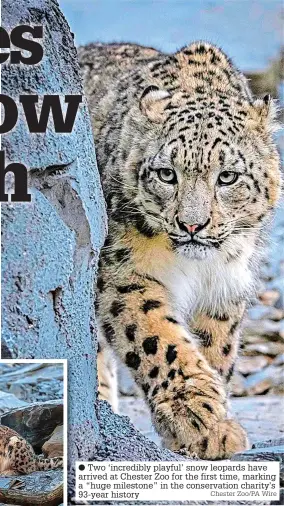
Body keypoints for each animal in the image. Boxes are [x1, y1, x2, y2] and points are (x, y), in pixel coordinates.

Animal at [79, 40, 280, 458]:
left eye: (227, 176)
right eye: (166, 174)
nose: (192, 225)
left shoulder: (226, 282)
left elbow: (213, 345)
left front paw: (212, 428)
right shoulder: (124, 272)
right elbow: (158, 337)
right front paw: (195, 414)